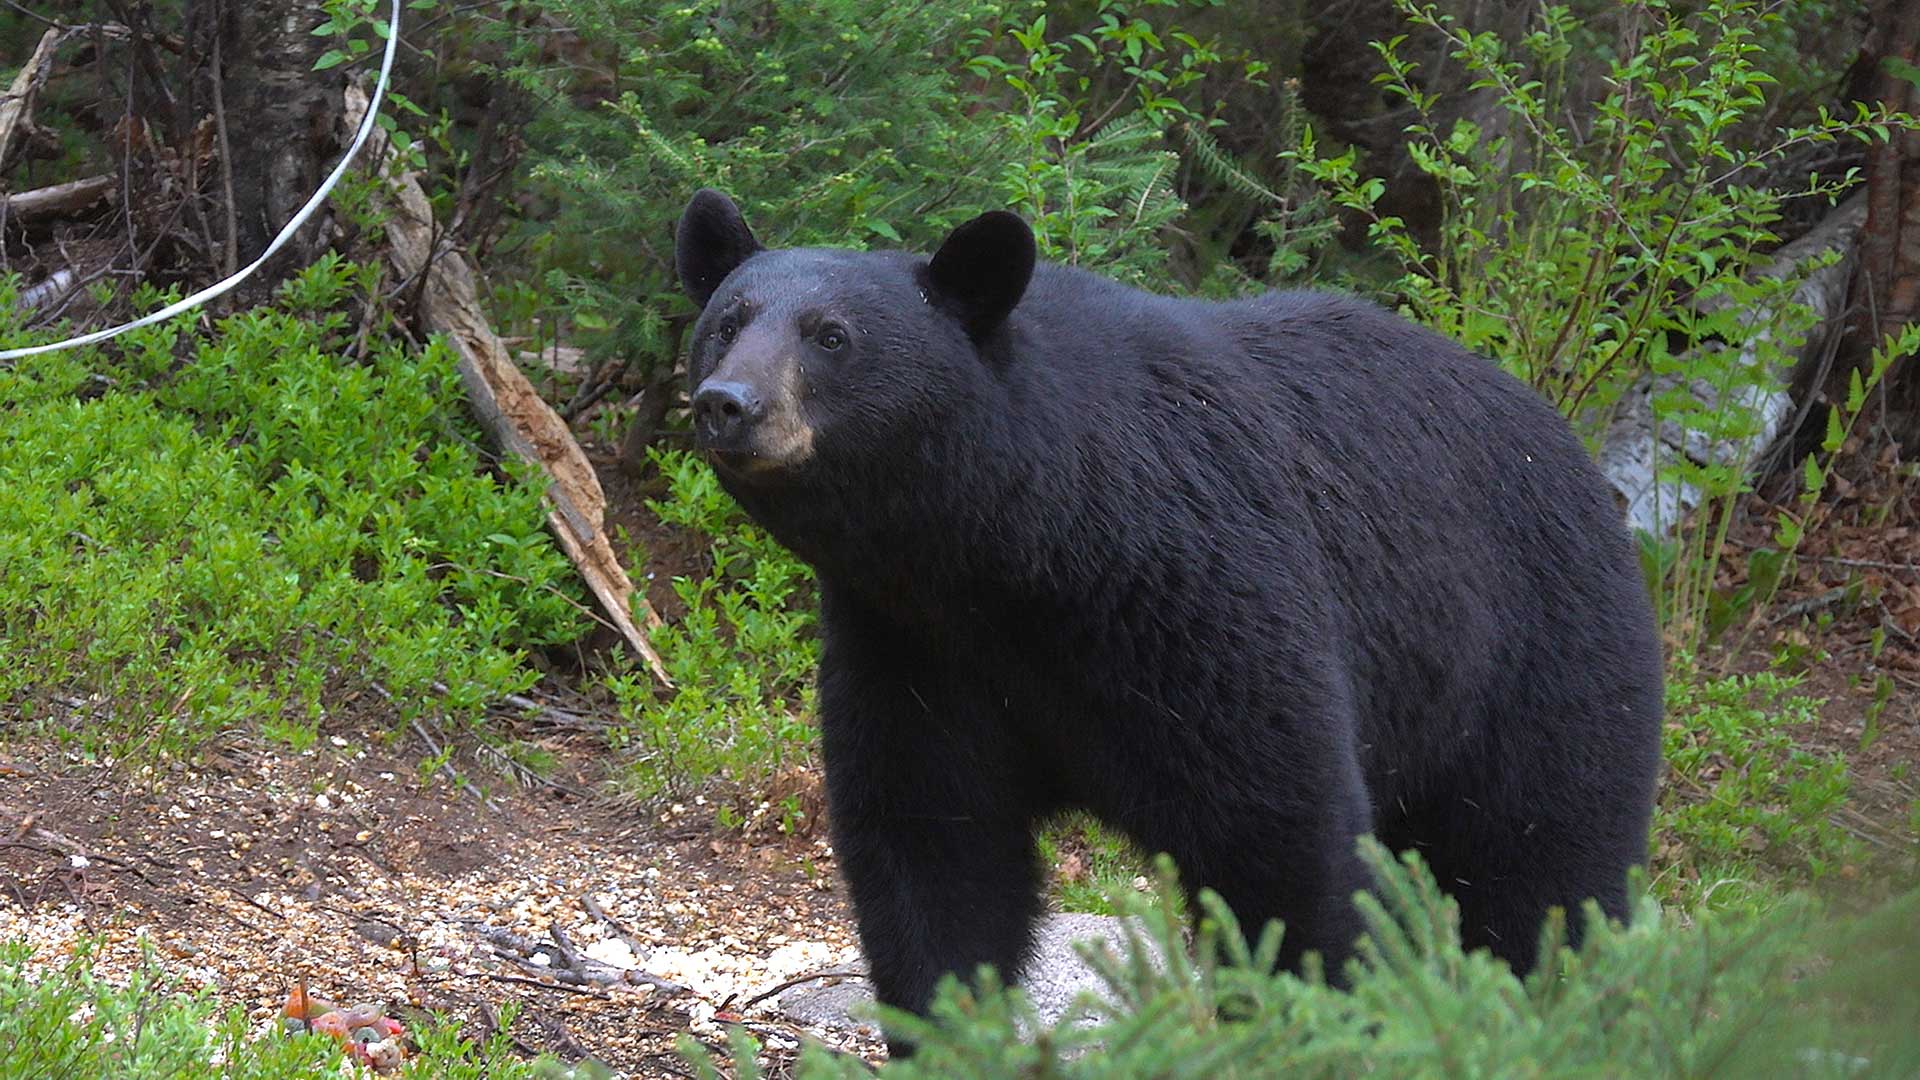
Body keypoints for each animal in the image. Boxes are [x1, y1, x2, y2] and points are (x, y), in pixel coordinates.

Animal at [671, 188, 1664, 1045]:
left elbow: (1281, 835)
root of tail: (1580, 462)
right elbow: (931, 851)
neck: (1008, 553)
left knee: (1541, 872)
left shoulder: (1199, 597)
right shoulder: (911, 650)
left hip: (1538, 662)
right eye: (726, 323)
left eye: (832, 336)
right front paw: (953, 1030)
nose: (728, 403)